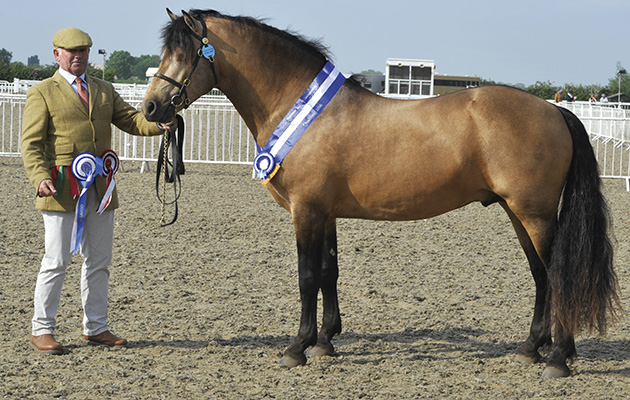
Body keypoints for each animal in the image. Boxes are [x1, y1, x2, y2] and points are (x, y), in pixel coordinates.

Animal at [143, 9, 624, 378]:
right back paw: (532, 348)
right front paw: (325, 341)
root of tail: (555, 110)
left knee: (558, 274)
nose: (151, 107)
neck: (303, 111)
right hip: (518, 212)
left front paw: (298, 347)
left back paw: (558, 358)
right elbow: (329, 273)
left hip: (534, 213)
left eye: (184, 54)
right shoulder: (326, 213)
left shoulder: (307, 211)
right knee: (543, 277)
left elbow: (306, 277)